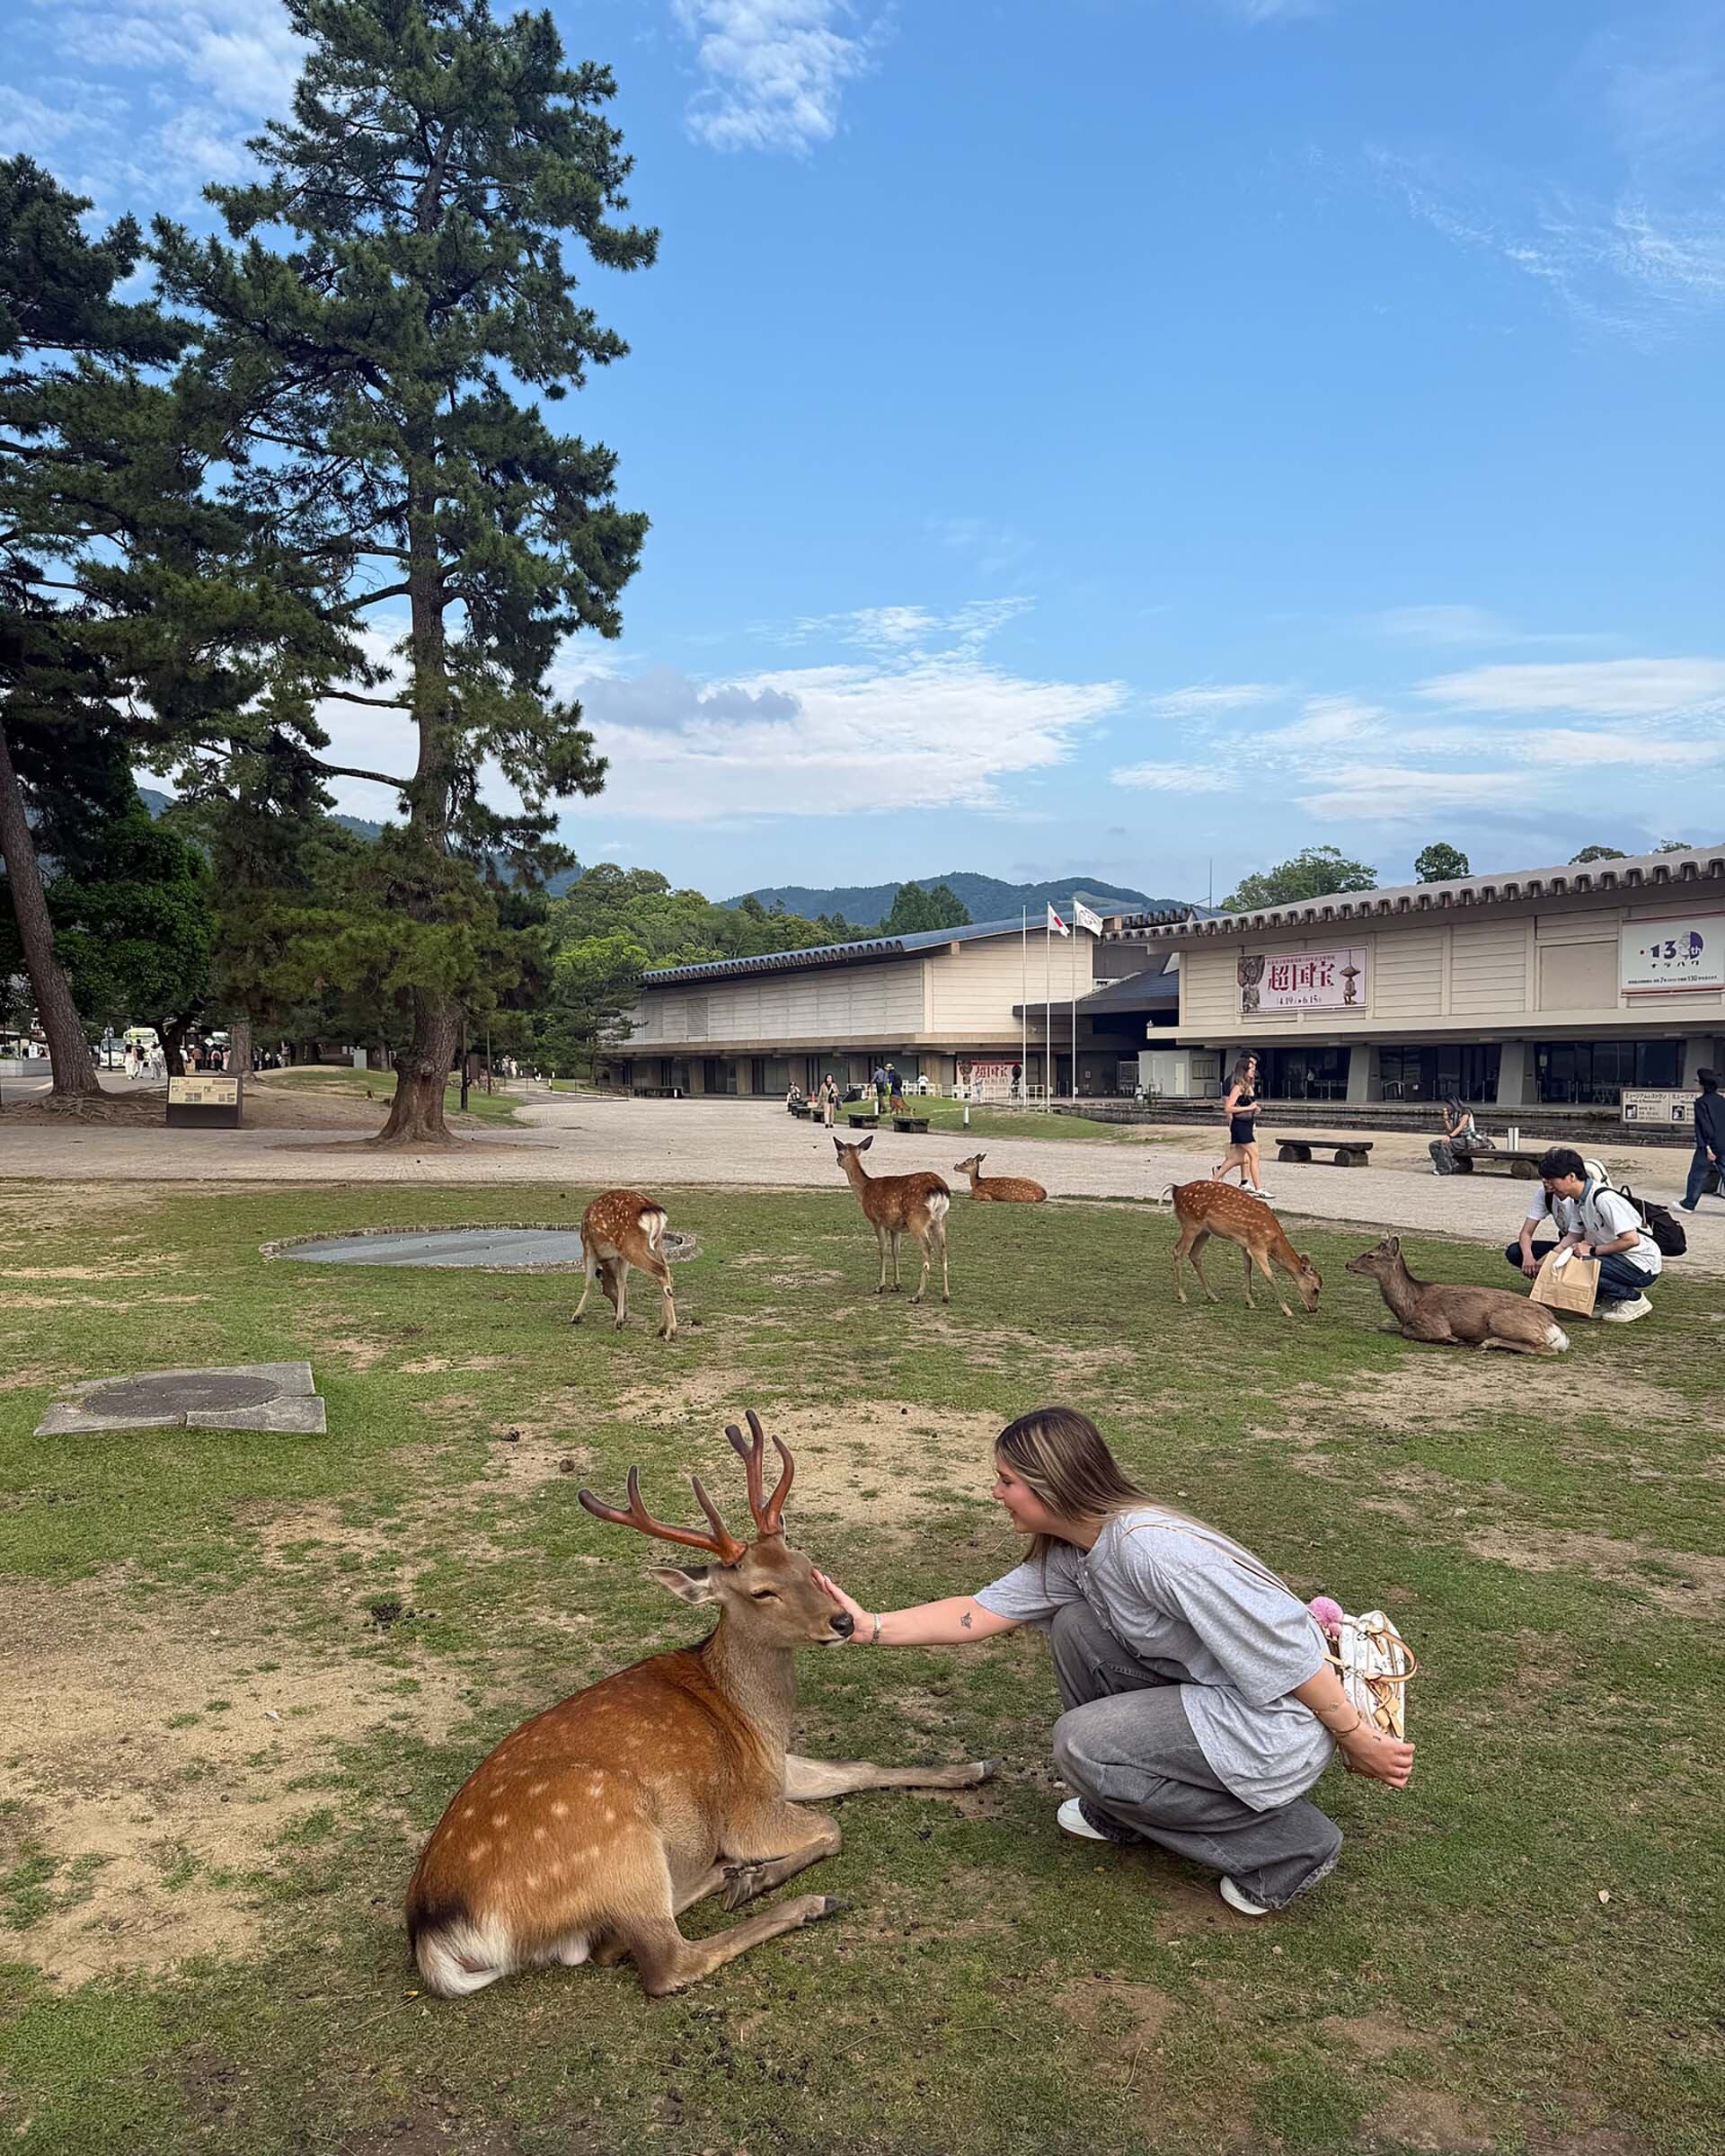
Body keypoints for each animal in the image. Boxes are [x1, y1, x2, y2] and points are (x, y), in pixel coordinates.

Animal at [405, 1411, 993, 1998]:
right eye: (761, 1591)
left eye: (806, 1563)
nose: (844, 1621)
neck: (753, 1718)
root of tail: (436, 1934)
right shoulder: (745, 1807)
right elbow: (832, 1827)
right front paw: (760, 1874)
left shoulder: (772, 1768)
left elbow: (860, 1767)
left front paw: (974, 1768)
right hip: (618, 1835)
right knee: (662, 1960)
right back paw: (797, 1899)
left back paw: (723, 1874)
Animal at [570, 1189, 677, 1341]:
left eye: (604, 1291)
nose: (625, 1313)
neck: (606, 1259)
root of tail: (654, 1212)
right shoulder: (621, 1256)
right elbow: (621, 1281)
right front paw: (619, 1320)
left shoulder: (589, 1247)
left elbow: (589, 1282)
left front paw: (576, 1316)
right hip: (656, 1244)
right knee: (666, 1273)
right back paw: (661, 1328)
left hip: (631, 1245)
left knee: (661, 1270)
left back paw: (670, 1331)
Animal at [832, 1135, 952, 1302]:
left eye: (840, 1152)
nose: (837, 1160)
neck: (864, 1189)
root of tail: (939, 1189)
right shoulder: (895, 1227)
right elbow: (896, 1251)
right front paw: (896, 1285)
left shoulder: (877, 1220)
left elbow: (883, 1250)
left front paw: (880, 1286)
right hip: (941, 1220)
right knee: (943, 1250)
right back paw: (946, 1295)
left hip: (917, 1219)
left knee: (928, 1249)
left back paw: (917, 1295)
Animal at [1167, 1178, 1322, 1318]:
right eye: (1316, 1289)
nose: (1314, 1309)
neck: (1273, 1239)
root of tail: (1177, 1189)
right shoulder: (1257, 1245)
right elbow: (1269, 1276)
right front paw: (1287, 1311)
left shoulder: (1244, 1244)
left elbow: (1247, 1269)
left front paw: (1251, 1303)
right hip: (1190, 1224)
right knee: (1178, 1251)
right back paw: (1183, 1296)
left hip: (1205, 1231)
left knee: (1194, 1255)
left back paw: (1212, 1296)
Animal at [1346, 1236, 1569, 1355]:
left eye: (1370, 1255)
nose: (1348, 1264)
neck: (1409, 1306)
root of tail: (1560, 1333)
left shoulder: (1435, 1322)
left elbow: (1408, 1331)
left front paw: (1452, 1339)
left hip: (1500, 1319)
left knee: (1546, 1348)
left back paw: (1486, 1343)